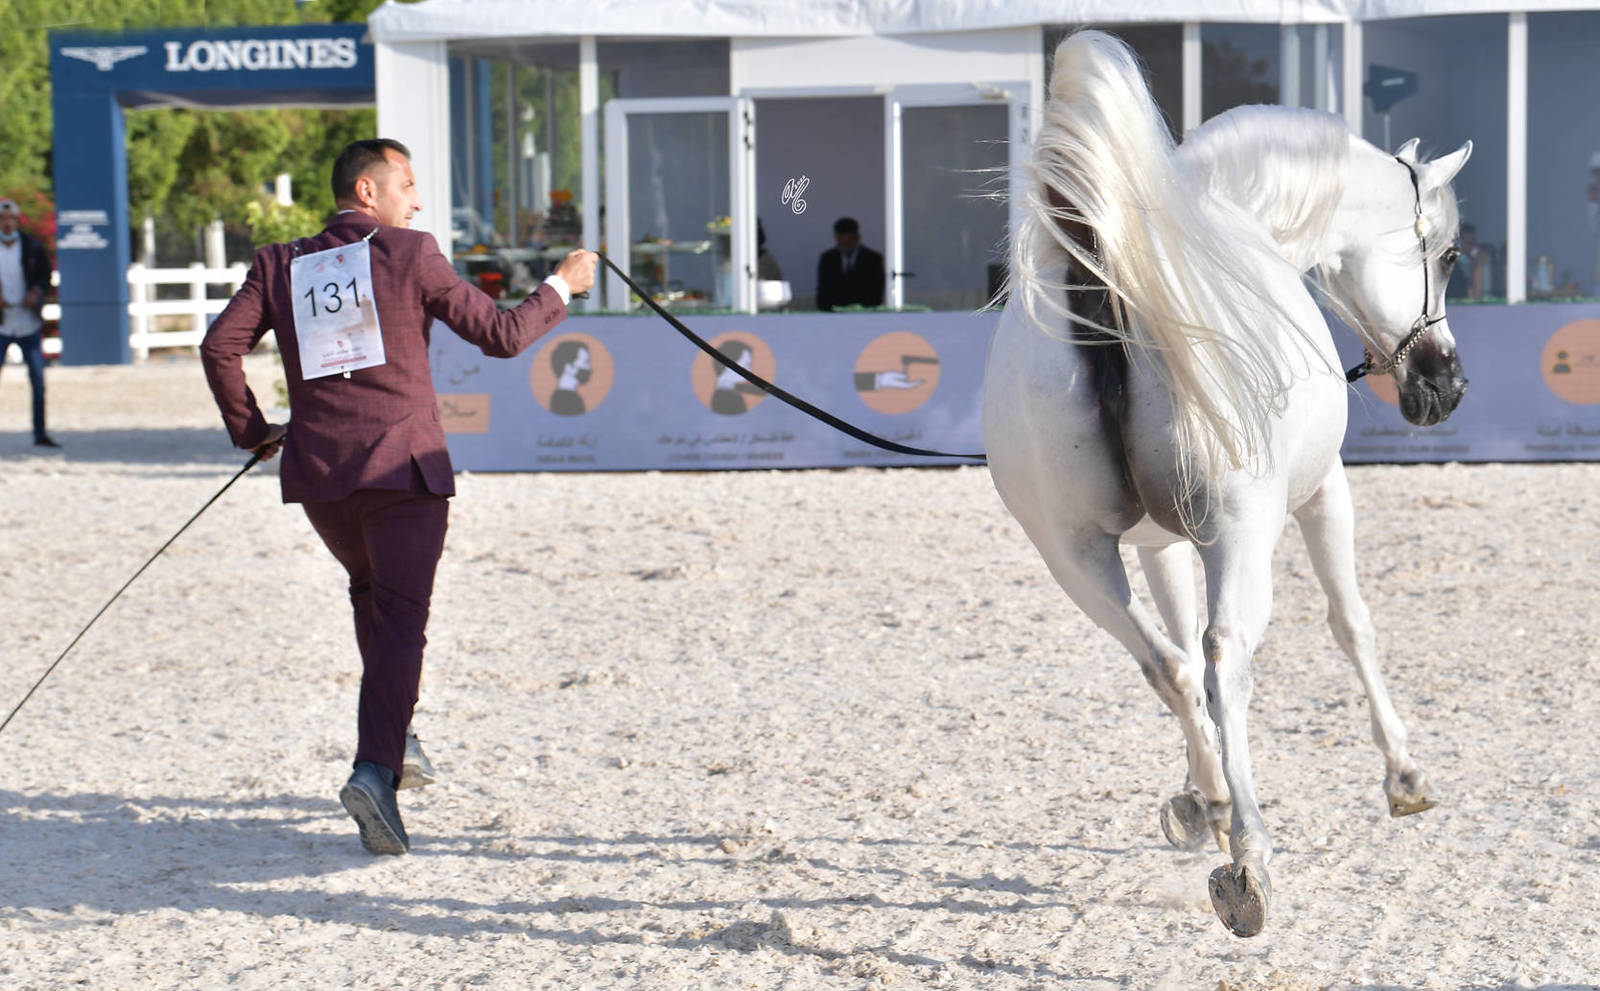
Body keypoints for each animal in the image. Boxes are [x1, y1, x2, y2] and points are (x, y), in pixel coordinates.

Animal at [982, 30, 1470, 938]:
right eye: (1449, 255)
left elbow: (1176, 641)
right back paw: (1247, 856)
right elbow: (1352, 623)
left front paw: (1191, 792)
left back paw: (1208, 802)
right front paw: (1404, 774)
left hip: (1074, 554)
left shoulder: (1160, 539)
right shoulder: (1321, 493)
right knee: (1222, 656)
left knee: (1167, 662)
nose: (1443, 385)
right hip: (1240, 532)